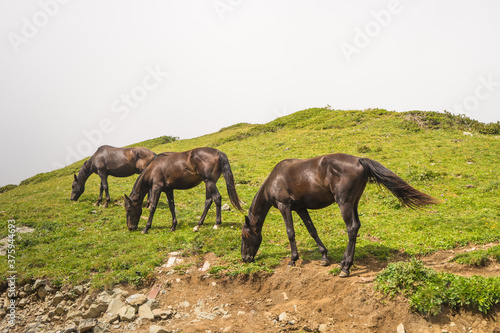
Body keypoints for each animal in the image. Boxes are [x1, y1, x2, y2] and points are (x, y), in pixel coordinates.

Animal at [240, 152, 436, 274]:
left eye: (244, 236)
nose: (244, 258)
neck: (274, 180)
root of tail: (359, 160)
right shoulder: (301, 208)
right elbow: (312, 231)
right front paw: (324, 256)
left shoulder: (284, 206)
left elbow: (290, 233)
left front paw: (293, 259)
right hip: (353, 203)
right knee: (356, 227)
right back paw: (344, 262)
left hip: (345, 203)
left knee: (352, 228)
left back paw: (345, 268)